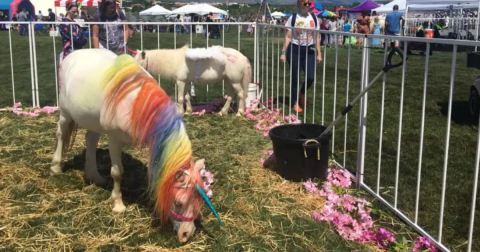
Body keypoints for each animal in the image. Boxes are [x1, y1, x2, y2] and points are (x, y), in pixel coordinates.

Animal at [49, 48, 222, 243]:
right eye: (178, 202)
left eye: (199, 200)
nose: (187, 234)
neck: (136, 103)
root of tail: (73, 54)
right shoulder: (114, 139)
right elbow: (117, 172)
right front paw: (118, 205)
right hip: (65, 113)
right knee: (61, 134)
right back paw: (56, 167)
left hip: (92, 119)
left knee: (91, 139)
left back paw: (94, 176)